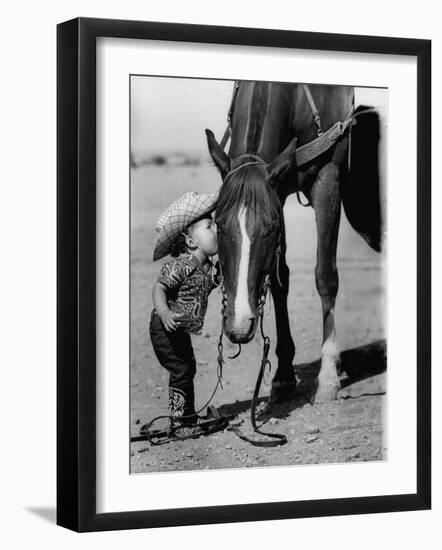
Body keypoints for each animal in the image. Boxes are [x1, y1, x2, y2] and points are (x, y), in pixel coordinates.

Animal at [205, 80, 382, 404]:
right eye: (218, 224)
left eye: (270, 227)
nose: (239, 325)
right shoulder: (279, 189)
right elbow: (279, 280)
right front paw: (284, 375)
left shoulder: (327, 180)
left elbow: (326, 277)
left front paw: (328, 378)